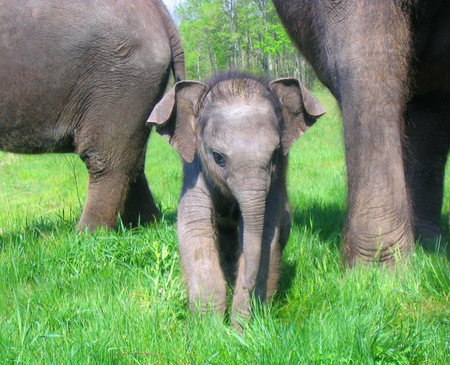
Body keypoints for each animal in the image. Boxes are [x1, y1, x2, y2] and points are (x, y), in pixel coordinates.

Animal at [0, 0, 184, 230]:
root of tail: (160, 12)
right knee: (133, 159)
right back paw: (145, 225)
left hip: (120, 82)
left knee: (107, 158)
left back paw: (87, 233)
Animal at [149, 72, 326, 322]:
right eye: (218, 157)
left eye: (275, 153)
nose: (246, 285)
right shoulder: (195, 169)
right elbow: (196, 229)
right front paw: (209, 327)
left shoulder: (276, 180)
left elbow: (266, 233)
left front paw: (243, 325)